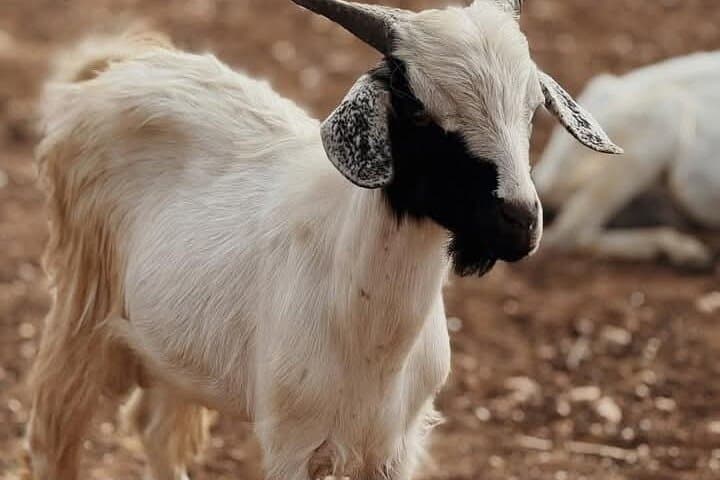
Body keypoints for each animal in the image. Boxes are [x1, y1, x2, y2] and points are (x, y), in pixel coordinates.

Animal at [26, 1, 619, 479]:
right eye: (416, 106)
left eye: (532, 108)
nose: (519, 221)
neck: (366, 329)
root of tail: (114, 71)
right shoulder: (291, 443)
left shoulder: (395, 448)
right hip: (81, 302)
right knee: (53, 438)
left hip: (174, 347)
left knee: (155, 430)